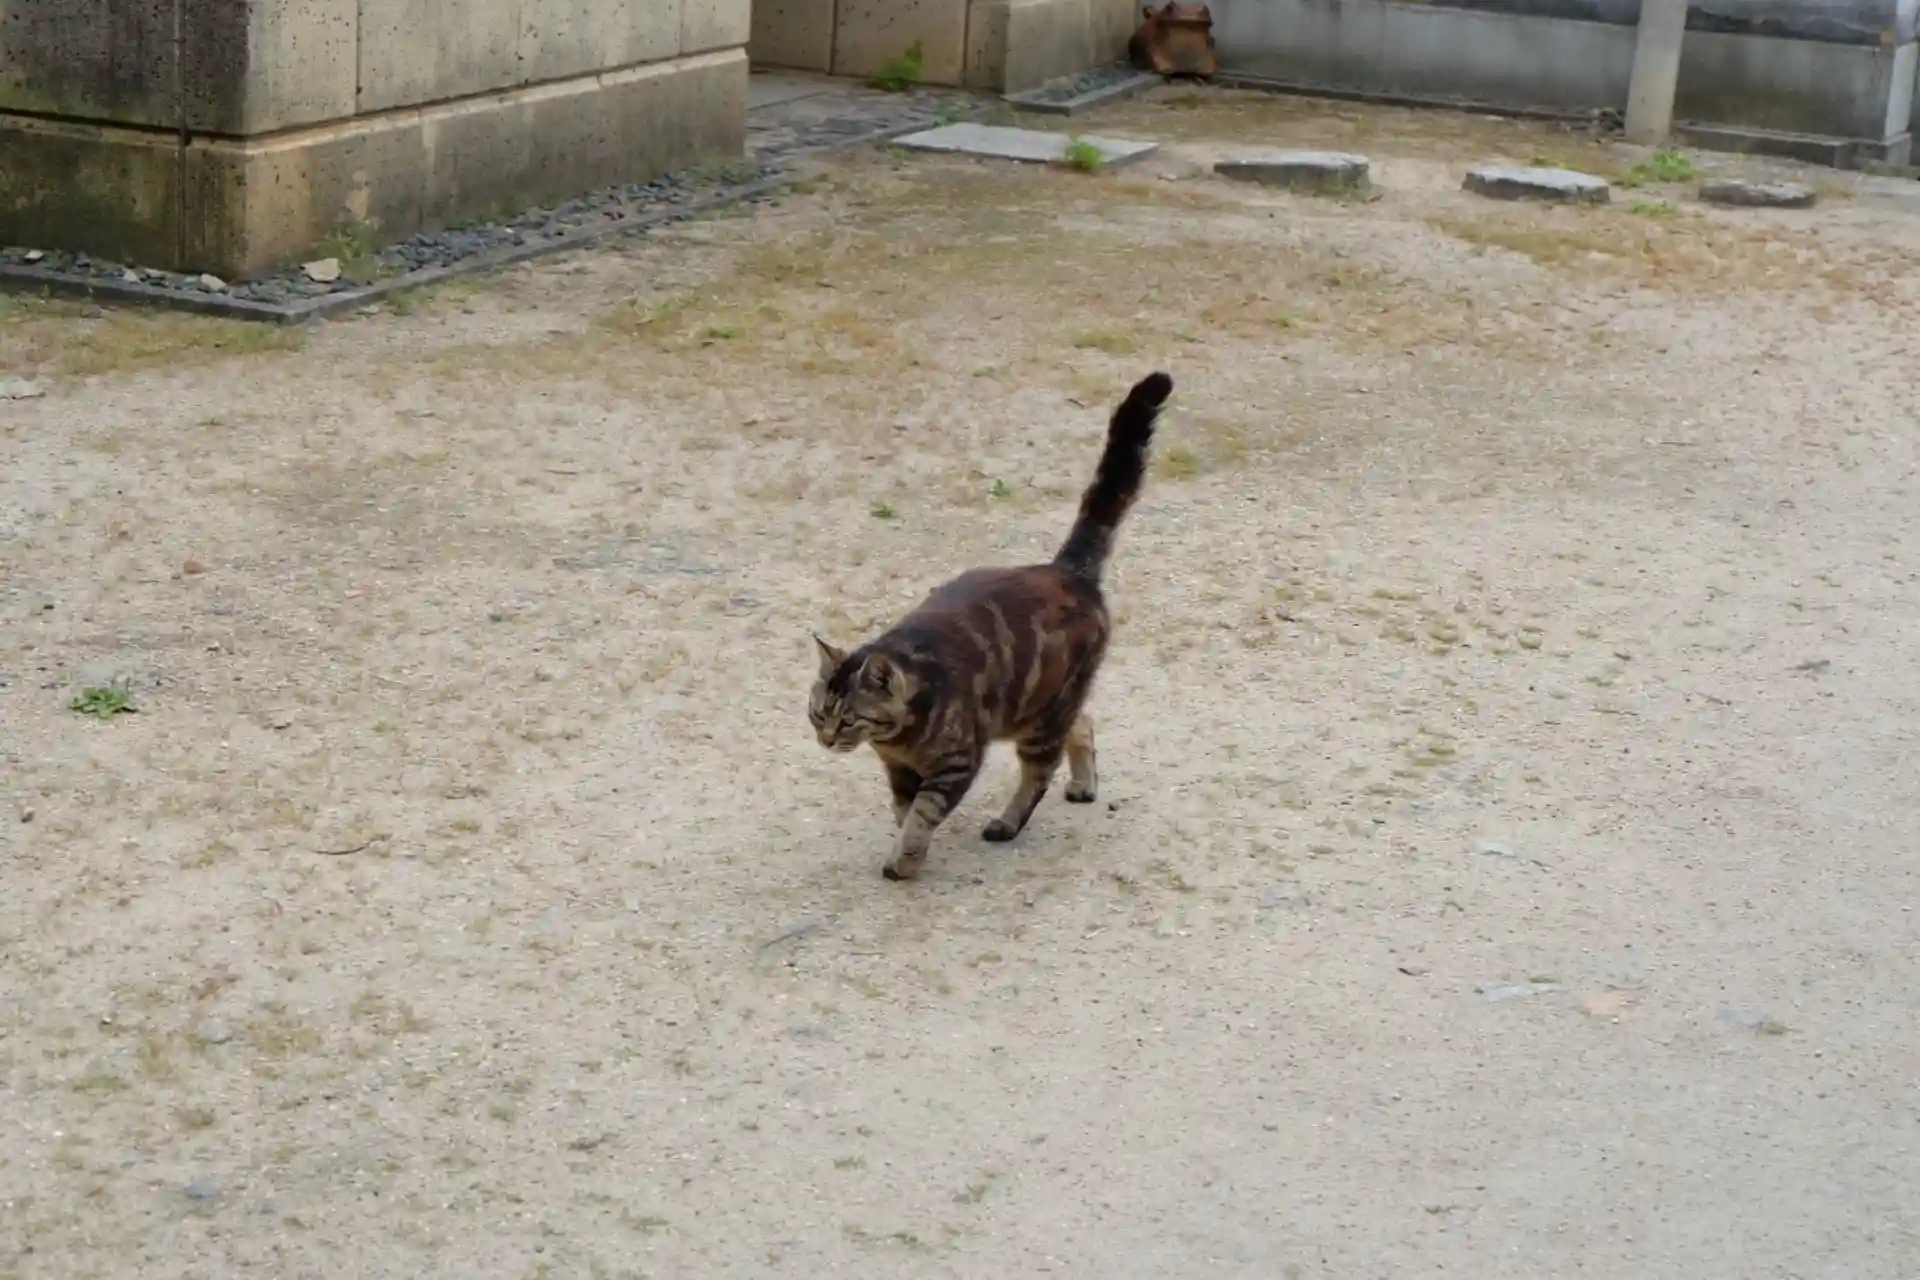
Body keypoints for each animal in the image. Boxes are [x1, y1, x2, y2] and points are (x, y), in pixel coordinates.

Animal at [809, 370, 1174, 881]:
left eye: (847, 719)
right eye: (818, 714)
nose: (825, 740)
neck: (898, 737)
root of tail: (1067, 569)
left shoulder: (957, 763)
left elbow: (922, 814)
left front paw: (906, 859)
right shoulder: (897, 770)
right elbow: (905, 811)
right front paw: (909, 845)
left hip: (1040, 723)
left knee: (1039, 774)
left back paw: (1007, 823)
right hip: (1041, 707)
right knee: (1083, 722)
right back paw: (1084, 783)